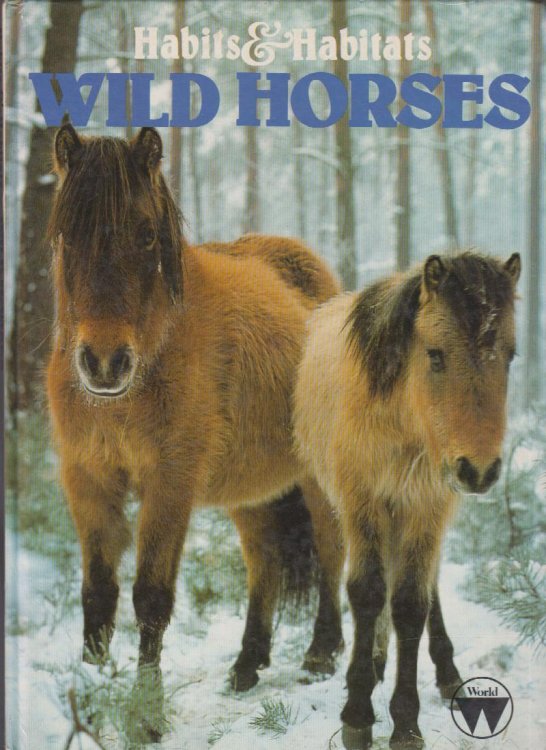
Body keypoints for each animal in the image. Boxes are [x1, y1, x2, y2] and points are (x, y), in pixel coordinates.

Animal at [45, 125, 345, 708]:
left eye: (146, 236)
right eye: (67, 233)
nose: (105, 362)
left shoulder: (170, 481)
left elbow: (150, 597)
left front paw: (145, 712)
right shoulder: (88, 479)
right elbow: (98, 596)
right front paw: (91, 699)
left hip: (316, 479)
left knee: (332, 549)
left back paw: (322, 654)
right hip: (253, 490)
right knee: (264, 561)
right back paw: (248, 664)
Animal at [294, 251, 521, 750]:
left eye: (511, 355)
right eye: (435, 354)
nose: (479, 469)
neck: (403, 419)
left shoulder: (425, 506)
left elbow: (412, 604)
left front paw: (405, 722)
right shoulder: (363, 502)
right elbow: (366, 592)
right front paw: (358, 714)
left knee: (423, 585)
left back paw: (442, 670)